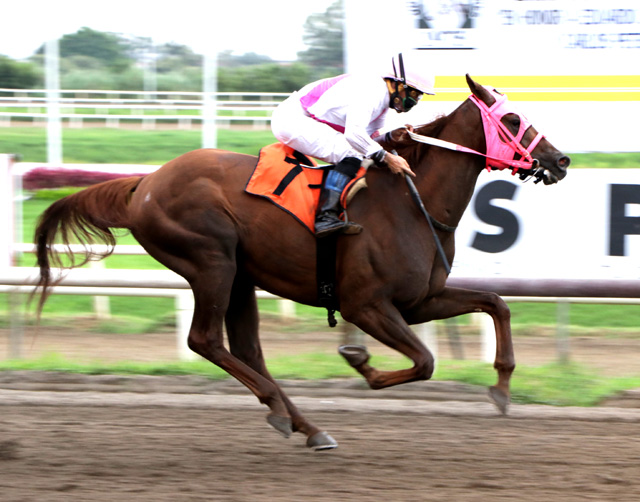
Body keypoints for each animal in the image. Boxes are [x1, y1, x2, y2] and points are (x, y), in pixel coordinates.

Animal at [32, 75, 568, 452]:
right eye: (514, 119)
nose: (560, 161)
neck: (413, 202)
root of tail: (144, 183)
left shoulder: (420, 300)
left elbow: (495, 303)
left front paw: (501, 389)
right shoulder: (365, 305)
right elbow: (424, 361)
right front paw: (363, 364)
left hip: (240, 275)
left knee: (247, 350)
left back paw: (306, 425)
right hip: (211, 262)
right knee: (205, 340)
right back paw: (284, 410)